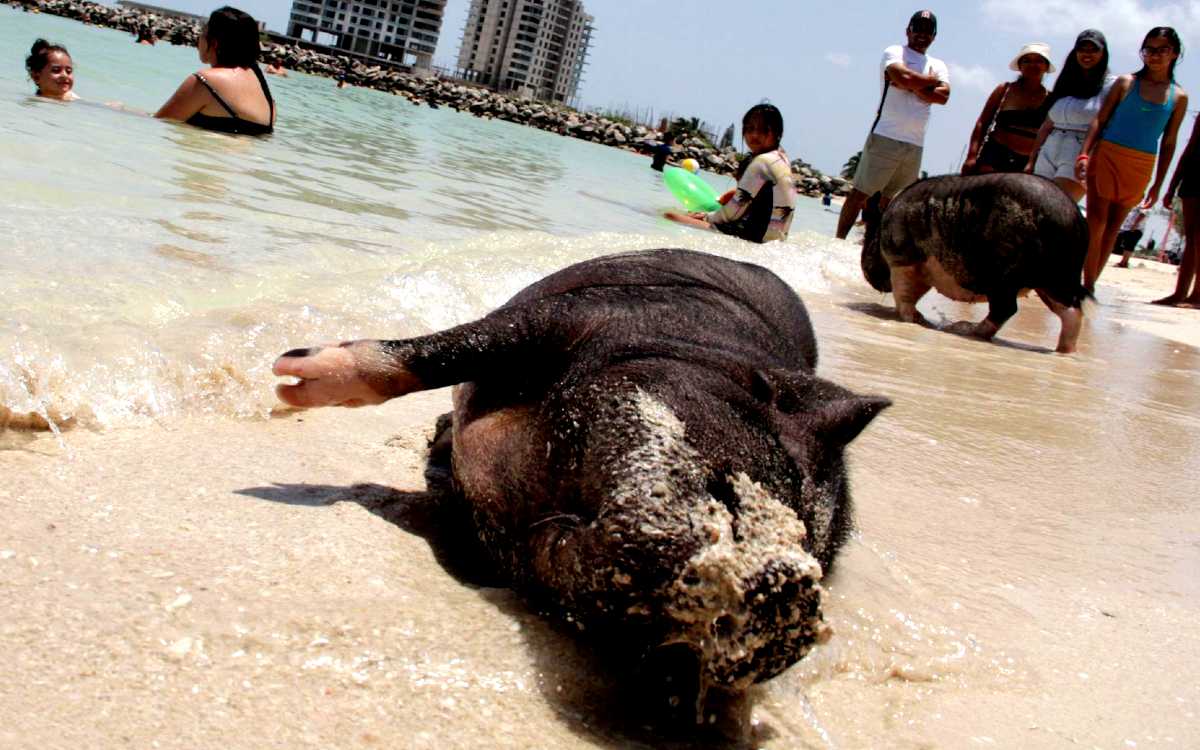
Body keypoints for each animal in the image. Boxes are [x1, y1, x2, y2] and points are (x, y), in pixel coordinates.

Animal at [273, 249, 889, 721]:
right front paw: (288, 381)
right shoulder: (573, 314)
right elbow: (446, 353)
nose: (790, 587)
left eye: (811, 548)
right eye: (732, 489)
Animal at [861, 173, 1088, 353]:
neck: (882, 228)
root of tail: (1074, 219)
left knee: (1006, 308)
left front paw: (914, 319)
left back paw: (965, 330)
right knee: (1072, 311)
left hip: (1005, 275)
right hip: (1057, 278)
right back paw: (1064, 351)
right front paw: (921, 320)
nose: (866, 272)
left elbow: (904, 296)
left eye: (866, 237)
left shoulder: (903, 260)